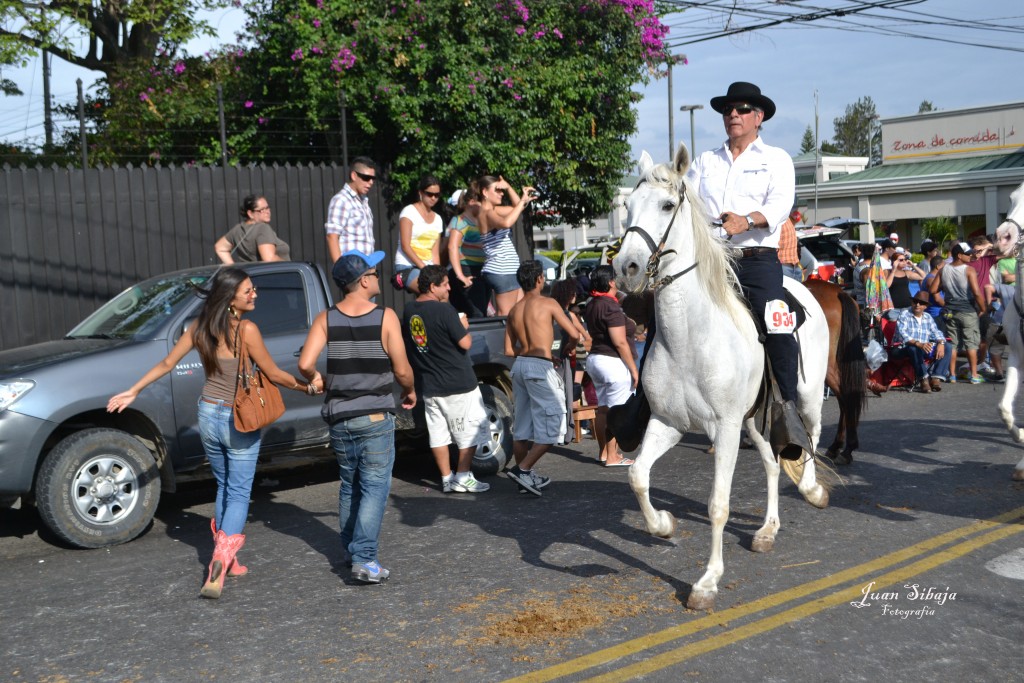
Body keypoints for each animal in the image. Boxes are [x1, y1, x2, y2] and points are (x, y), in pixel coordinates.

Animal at [610, 148, 827, 610]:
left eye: (667, 205)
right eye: (627, 208)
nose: (626, 268)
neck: (691, 338)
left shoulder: (724, 429)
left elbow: (718, 506)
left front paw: (707, 581)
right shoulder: (669, 423)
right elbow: (638, 477)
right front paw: (663, 524)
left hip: (806, 394)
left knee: (811, 437)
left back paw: (813, 490)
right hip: (754, 419)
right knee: (772, 463)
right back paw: (767, 530)